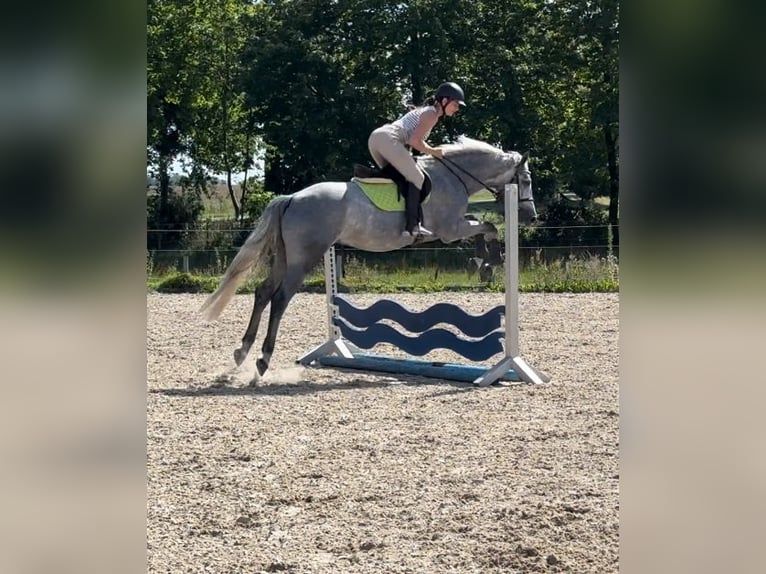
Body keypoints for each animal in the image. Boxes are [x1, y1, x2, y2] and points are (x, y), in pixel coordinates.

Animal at [200, 136, 538, 380]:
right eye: (525, 181)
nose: (531, 217)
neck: (454, 177)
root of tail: (292, 198)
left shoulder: (454, 227)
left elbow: (482, 226)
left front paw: (485, 262)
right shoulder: (449, 229)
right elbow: (488, 227)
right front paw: (489, 260)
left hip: (285, 257)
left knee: (263, 292)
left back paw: (242, 352)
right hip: (304, 258)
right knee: (280, 298)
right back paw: (262, 360)